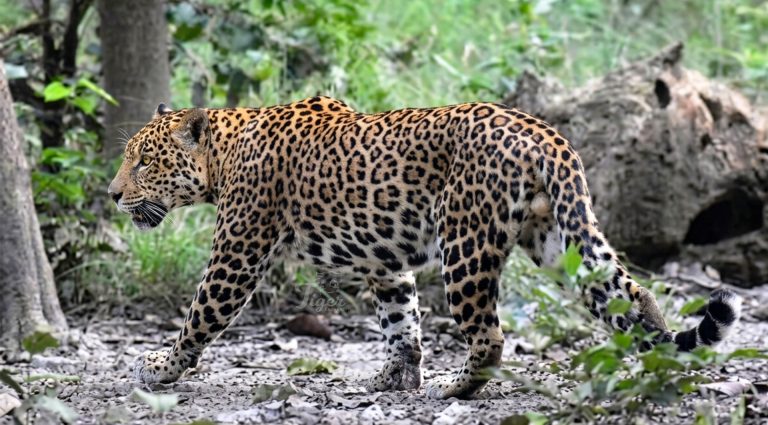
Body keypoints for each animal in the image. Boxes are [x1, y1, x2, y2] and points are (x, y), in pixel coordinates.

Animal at [108, 96, 741, 399]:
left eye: (144, 162)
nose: (112, 195)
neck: (223, 152)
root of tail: (544, 133)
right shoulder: (386, 259)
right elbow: (400, 318)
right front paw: (395, 377)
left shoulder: (238, 252)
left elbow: (201, 314)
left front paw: (161, 367)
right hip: (556, 237)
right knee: (631, 294)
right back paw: (659, 364)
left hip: (465, 241)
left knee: (489, 335)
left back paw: (456, 387)